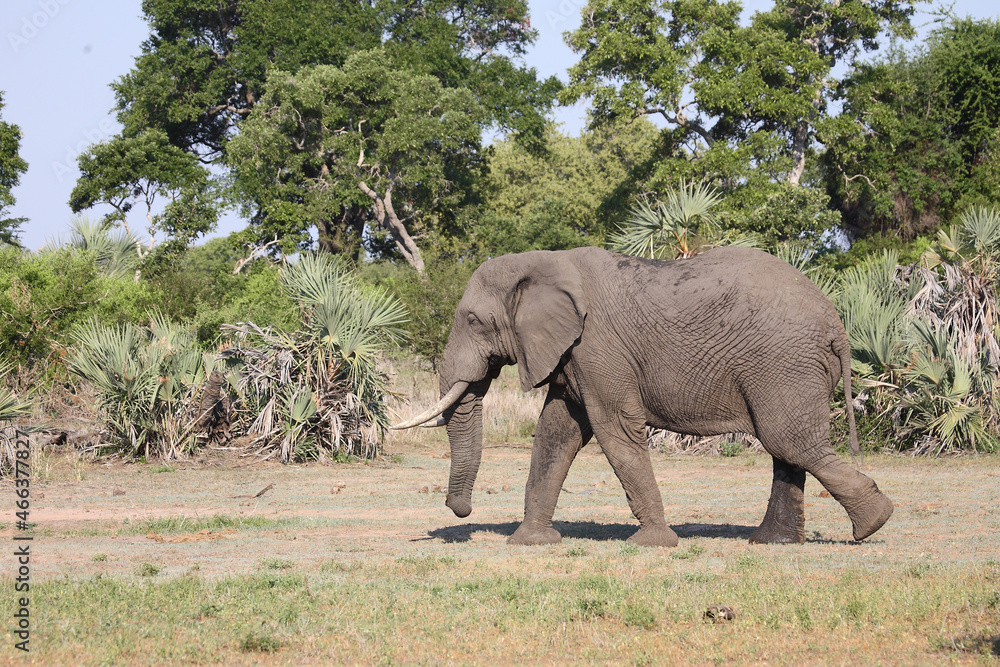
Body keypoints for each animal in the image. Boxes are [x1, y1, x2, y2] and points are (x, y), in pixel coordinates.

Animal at [392, 246, 894, 547]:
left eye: (474, 321)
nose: (461, 511)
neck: (545, 261)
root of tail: (837, 325)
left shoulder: (597, 344)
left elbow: (614, 428)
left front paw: (652, 544)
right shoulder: (575, 354)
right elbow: (557, 433)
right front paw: (530, 543)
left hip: (783, 361)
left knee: (789, 442)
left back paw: (874, 523)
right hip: (786, 366)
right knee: (786, 449)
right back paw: (773, 542)